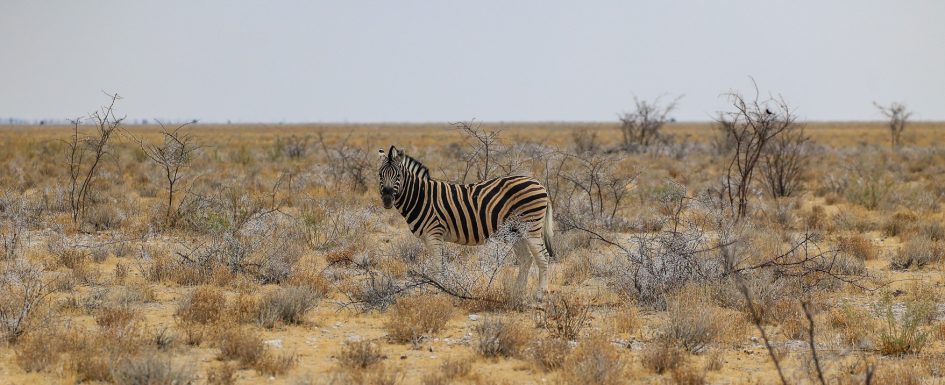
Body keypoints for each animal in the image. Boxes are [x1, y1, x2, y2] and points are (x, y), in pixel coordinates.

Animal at [376, 144, 552, 300]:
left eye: (398, 176)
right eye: (380, 175)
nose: (387, 200)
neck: (420, 197)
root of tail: (539, 183)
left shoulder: (434, 234)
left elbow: (437, 266)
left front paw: (438, 292)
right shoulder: (427, 238)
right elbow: (436, 265)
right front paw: (437, 289)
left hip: (531, 227)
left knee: (543, 258)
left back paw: (539, 295)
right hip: (515, 232)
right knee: (526, 259)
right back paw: (516, 293)